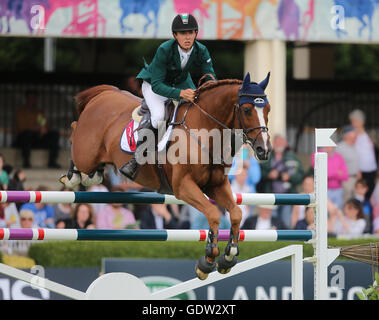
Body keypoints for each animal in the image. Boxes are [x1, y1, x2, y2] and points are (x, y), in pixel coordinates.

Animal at [64, 73, 274, 280]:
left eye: (268, 109)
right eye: (246, 110)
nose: (263, 150)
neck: (205, 130)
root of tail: (105, 93)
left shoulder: (216, 185)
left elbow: (237, 213)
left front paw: (228, 257)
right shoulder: (183, 187)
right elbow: (213, 213)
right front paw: (207, 261)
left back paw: (93, 175)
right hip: (85, 153)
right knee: (74, 129)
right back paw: (72, 175)